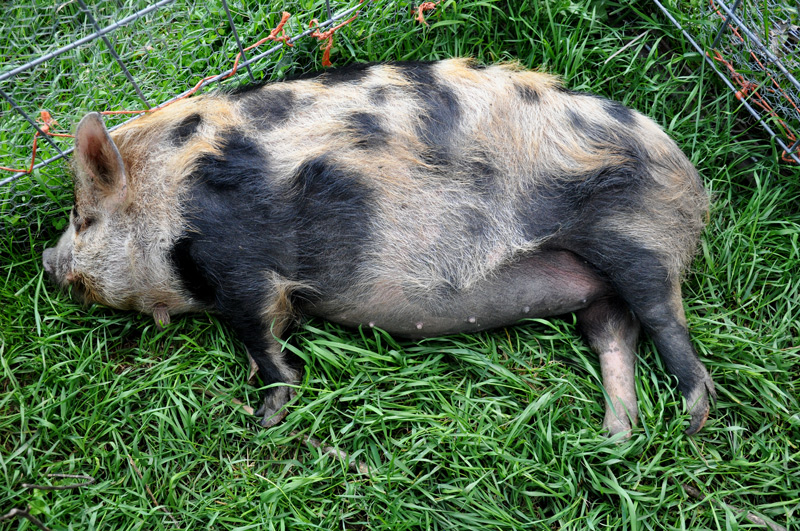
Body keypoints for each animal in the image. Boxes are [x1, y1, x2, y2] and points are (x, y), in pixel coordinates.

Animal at [42, 58, 715, 436]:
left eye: (82, 217)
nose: (48, 263)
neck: (170, 195)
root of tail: (689, 176)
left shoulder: (241, 263)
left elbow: (261, 335)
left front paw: (261, 420)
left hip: (634, 237)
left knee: (664, 320)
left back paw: (691, 418)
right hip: (596, 283)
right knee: (614, 336)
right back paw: (614, 435)